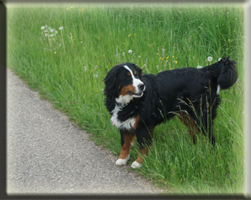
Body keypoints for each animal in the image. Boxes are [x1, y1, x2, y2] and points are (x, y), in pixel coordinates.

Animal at [103, 56, 237, 169]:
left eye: (136, 76)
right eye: (126, 78)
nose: (142, 86)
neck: (127, 102)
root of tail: (205, 71)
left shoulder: (143, 126)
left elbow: (143, 146)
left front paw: (139, 162)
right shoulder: (124, 122)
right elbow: (125, 143)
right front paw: (122, 159)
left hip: (201, 116)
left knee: (210, 137)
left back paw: (210, 153)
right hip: (186, 115)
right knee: (194, 132)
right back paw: (193, 148)